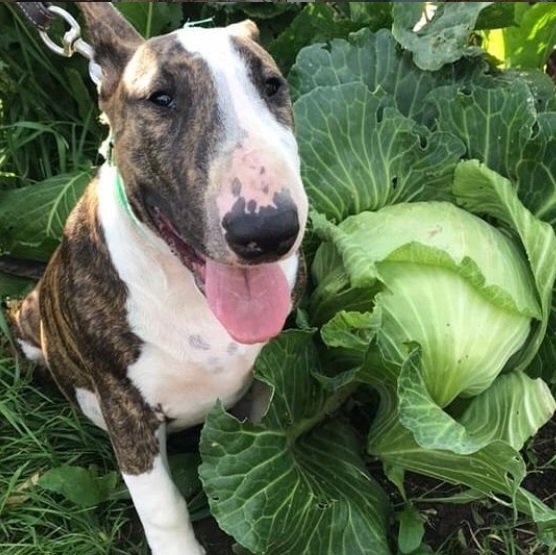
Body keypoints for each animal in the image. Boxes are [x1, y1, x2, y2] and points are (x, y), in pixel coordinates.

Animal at [9, 2, 308, 552]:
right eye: (161, 99)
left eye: (272, 86)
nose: (269, 231)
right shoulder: (127, 410)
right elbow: (162, 505)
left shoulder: (269, 375)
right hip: (28, 321)